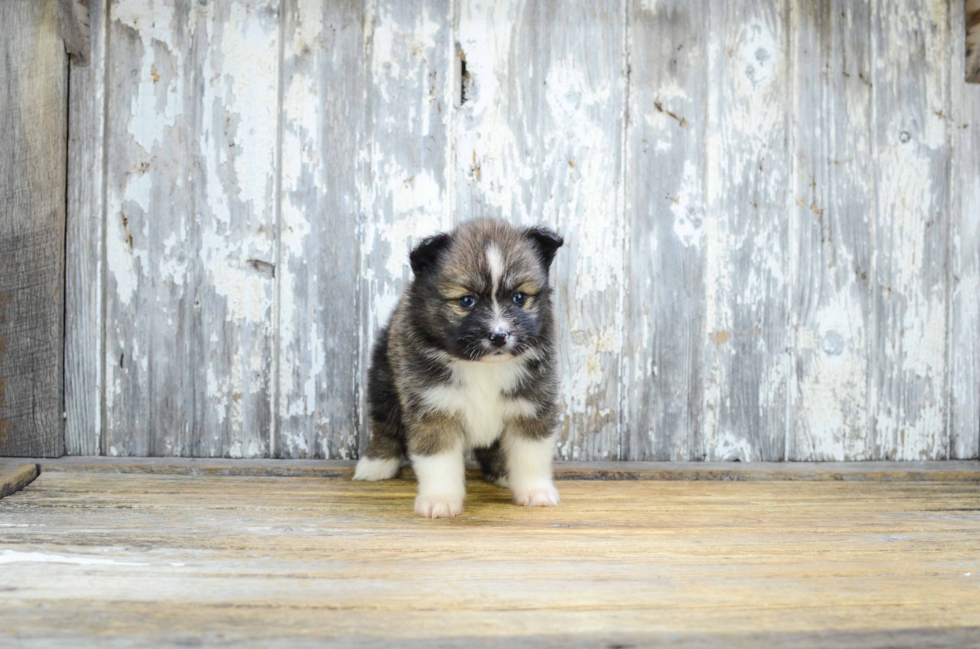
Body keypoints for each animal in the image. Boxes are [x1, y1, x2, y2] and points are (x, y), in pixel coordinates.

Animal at [356, 218, 564, 516]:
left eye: (519, 298)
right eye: (467, 301)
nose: (499, 336)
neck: (482, 367)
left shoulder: (531, 405)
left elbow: (531, 455)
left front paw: (535, 491)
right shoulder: (433, 409)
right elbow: (438, 461)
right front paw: (440, 499)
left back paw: (502, 472)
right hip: (383, 382)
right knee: (385, 425)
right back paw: (376, 464)